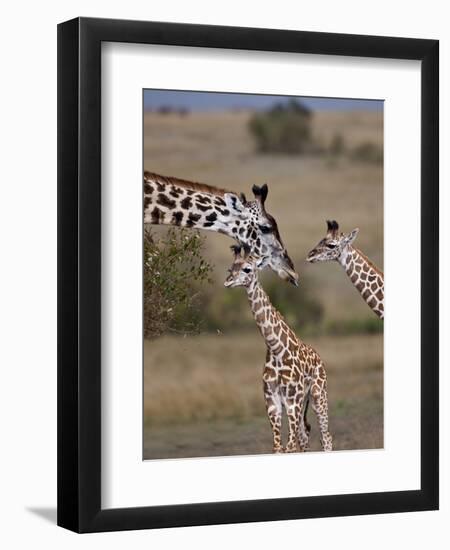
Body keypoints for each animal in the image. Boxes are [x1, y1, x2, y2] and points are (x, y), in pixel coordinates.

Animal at [224, 248, 332, 454]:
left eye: (247, 269)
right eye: (230, 268)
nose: (227, 282)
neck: (277, 350)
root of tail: (319, 358)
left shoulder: (292, 402)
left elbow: (289, 446)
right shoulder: (272, 403)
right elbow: (278, 447)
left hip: (317, 395)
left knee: (326, 437)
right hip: (304, 403)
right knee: (305, 435)